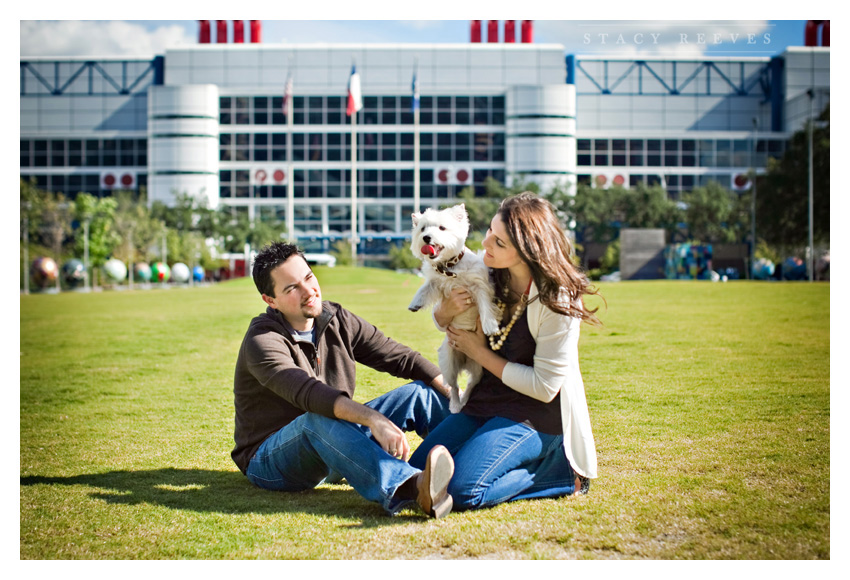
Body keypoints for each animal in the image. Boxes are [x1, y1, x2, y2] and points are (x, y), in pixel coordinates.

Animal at [408, 204, 500, 412]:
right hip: (448, 362)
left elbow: (485, 306)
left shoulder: (480, 286)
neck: (450, 268)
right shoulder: (435, 283)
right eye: (423, 229)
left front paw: (490, 325)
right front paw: (415, 303)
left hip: (480, 366)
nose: (427, 238)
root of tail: (465, 361)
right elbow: (424, 289)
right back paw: (456, 405)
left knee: (471, 384)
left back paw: (464, 401)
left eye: (442, 228)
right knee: (454, 385)